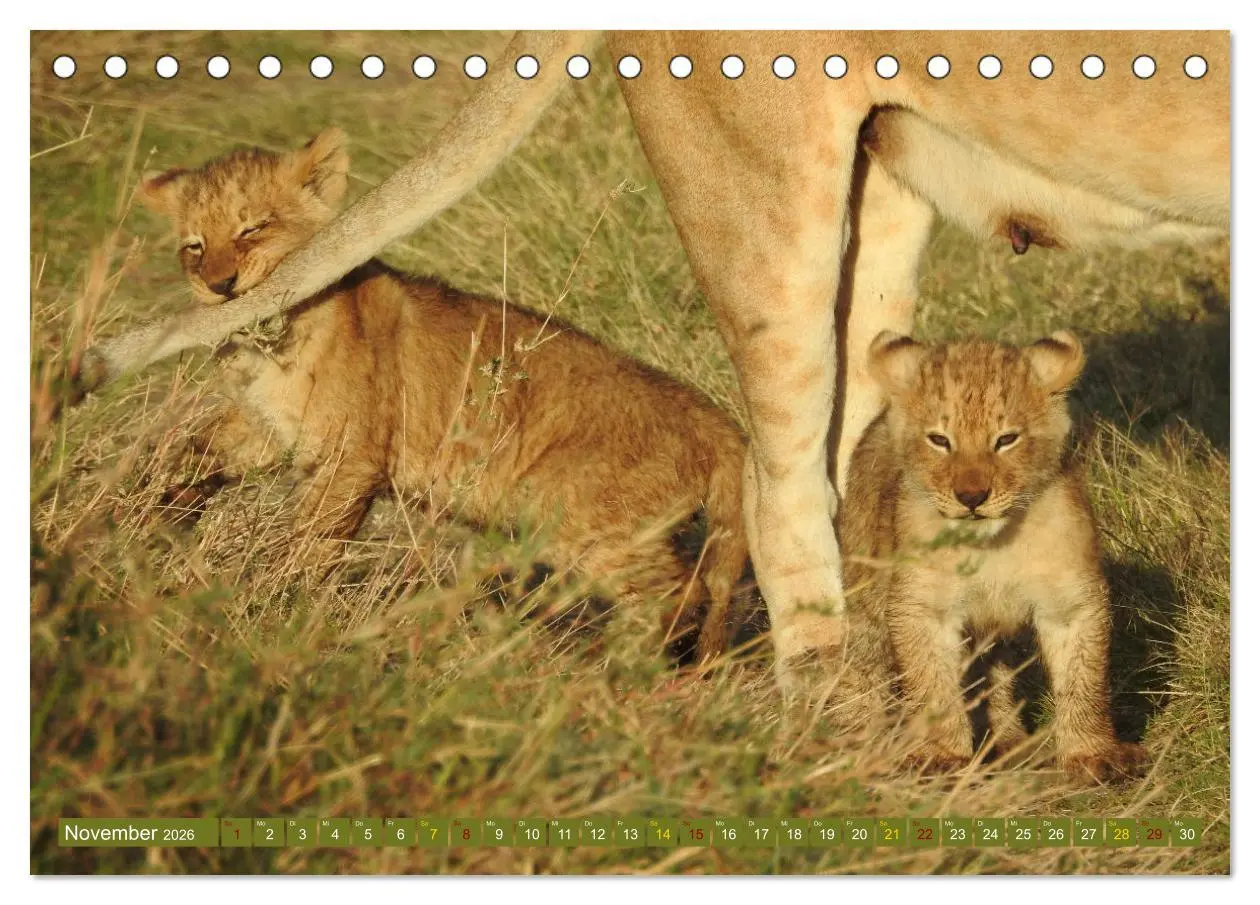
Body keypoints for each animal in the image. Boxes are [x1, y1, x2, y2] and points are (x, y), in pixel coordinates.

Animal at [136, 128, 751, 662]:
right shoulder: (269, 430)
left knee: (679, 597)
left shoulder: (351, 459)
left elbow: (312, 543)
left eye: (253, 229)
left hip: (586, 520)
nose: (219, 286)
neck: (275, 341)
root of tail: (714, 420)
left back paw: (612, 670)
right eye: (194, 246)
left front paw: (276, 602)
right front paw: (160, 507)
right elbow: (196, 448)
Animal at [841, 330, 1144, 781]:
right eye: (939, 440)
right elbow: (932, 685)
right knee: (865, 665)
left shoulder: (1070, 603)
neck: (989, 546)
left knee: (994, 673)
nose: (971, 497)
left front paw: (1092, 754)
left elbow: (1083, 681)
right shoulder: (923, 608)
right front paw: (940, 755)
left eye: (1006, 440)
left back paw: (1009, 741)